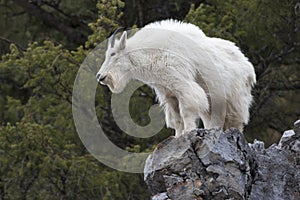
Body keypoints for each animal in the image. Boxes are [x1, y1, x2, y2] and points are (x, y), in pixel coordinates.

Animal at [96, 19, 255, 137]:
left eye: (113, 54)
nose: (100, 76)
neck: (152, 54)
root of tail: (248, 66)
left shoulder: (182, 85)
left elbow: (187, 110)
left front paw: (189, 132)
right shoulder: (168, 92)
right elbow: (176, 119)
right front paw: (178, 136)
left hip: (235, 98)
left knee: (236, 120)